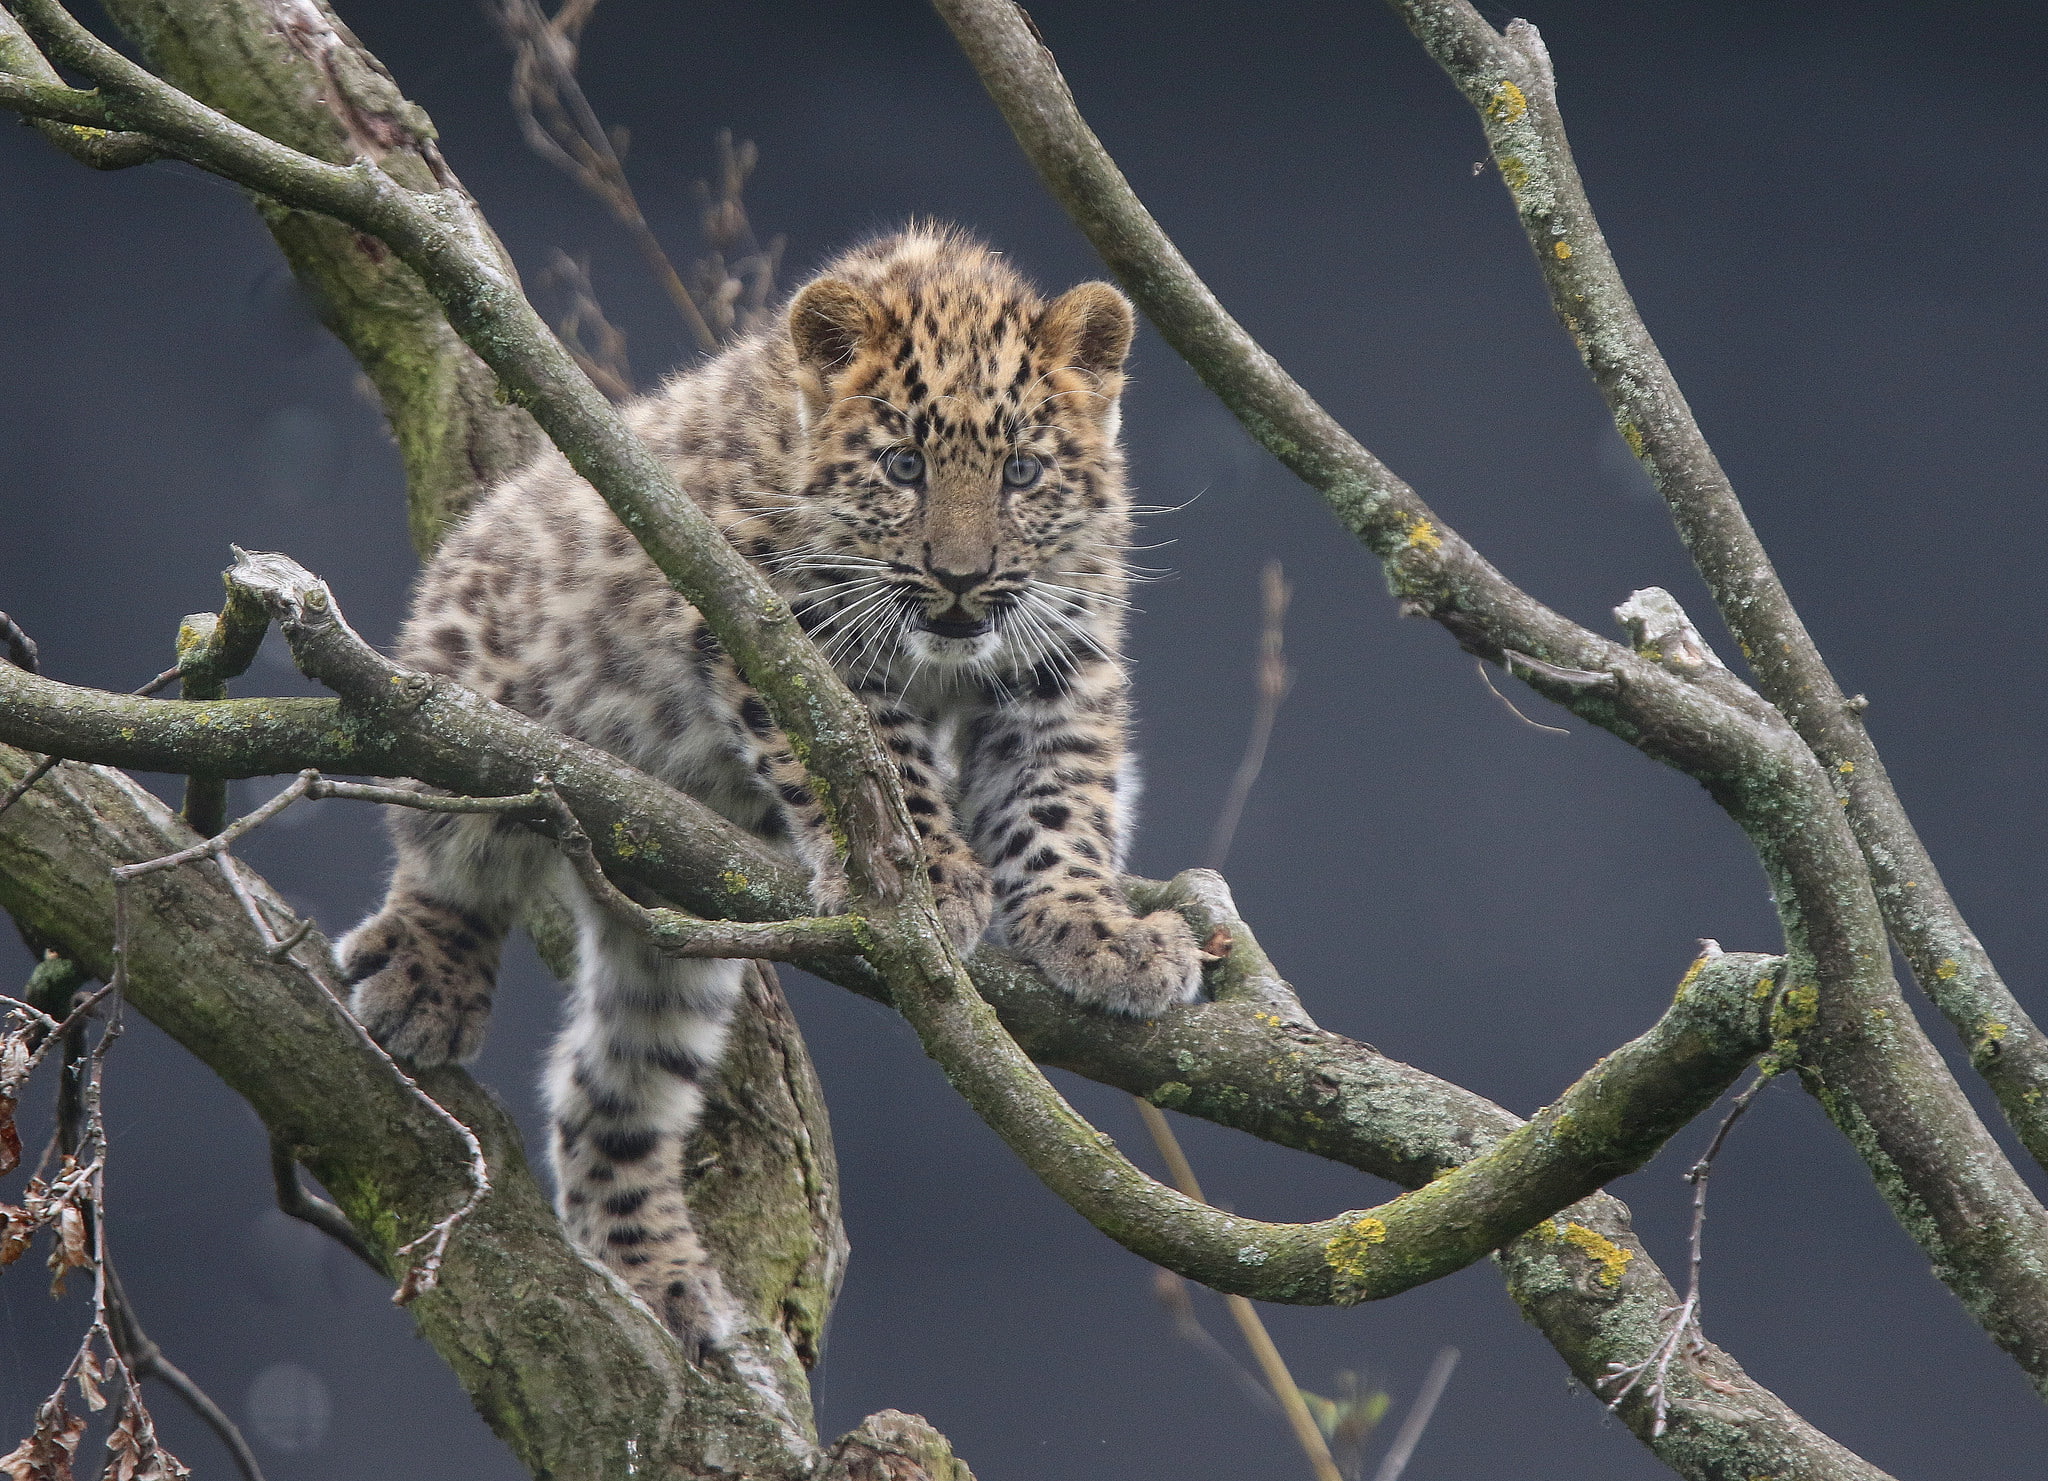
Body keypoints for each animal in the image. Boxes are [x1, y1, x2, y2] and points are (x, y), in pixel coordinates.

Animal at [336, 224, 1203, 1356]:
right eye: (903, 465)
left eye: (1022, 471)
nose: (961, 578)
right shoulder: (779, 625)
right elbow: (868, 754)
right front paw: (927, 879)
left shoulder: (1057, 659)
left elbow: (1060, 801)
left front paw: (1098, 930)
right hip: (464, 707)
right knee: (446, 854)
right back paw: (423, 982)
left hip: (672, 935)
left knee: (610, 1085)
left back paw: (661, 1281)